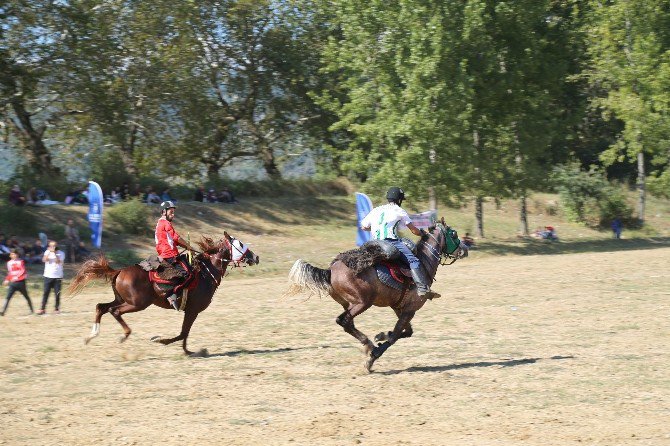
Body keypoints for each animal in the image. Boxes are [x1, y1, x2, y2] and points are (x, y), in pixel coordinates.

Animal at [69, 232, 260, 354]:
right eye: (240, 244)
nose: (256, 257)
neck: (206, 272)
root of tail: (119, 271)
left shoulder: (191, 311)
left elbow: (185, 333)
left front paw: (188, 351)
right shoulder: (193, 310)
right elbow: (183, 333)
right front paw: (161, 340)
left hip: (122, 299)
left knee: (101, 307)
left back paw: (91, 335)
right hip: (137, 304)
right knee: (113, 311)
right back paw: (124, 335)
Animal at [284, 218, 468, 372]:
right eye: (453, 233)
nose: (465, 250)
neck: (423, 264)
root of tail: (330, 270)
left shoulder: (400, 308)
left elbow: (405, 332)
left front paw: (381, 335)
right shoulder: (410, 310)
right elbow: (395, 336)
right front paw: (373, 357)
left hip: (348, 303)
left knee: (346, 322)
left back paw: (368, 343)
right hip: (362, 303)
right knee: (344, 321)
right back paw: (369, 346)